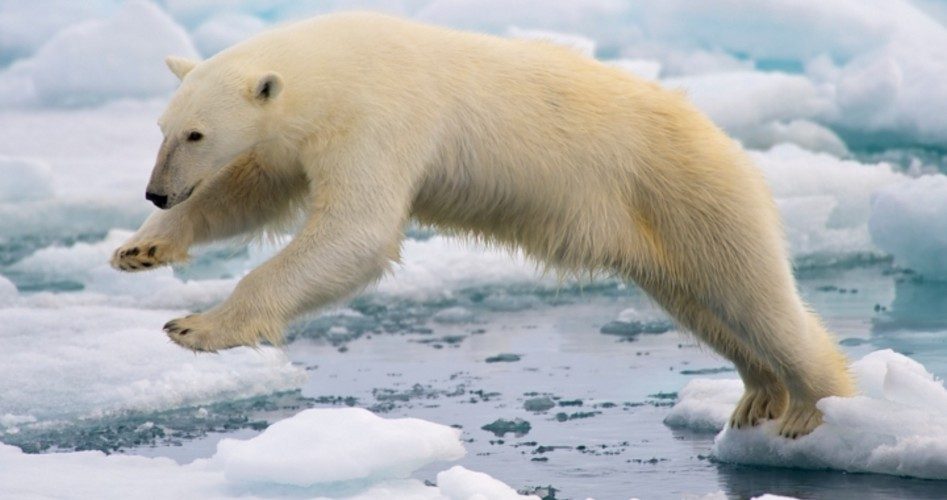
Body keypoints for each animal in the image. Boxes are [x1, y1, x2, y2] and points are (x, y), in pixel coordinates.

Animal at [111, 12, 854, 438]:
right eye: (163, 127)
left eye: (196, 133)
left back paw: (813, 408)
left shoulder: (381, 116)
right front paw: (141, 248)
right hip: (657, 229)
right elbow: (251, 191)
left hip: (688, 191)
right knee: (704, 306)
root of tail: (724, 139)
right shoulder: (298, 138)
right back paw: (757, 395)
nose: (156, 191)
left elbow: (356, 230)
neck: (335, 65)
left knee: (753, 295)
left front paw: (196, 326)